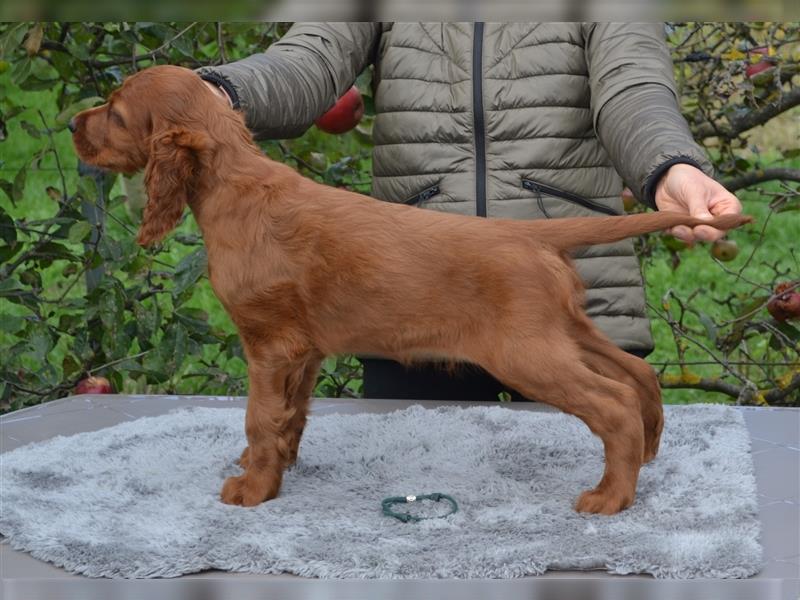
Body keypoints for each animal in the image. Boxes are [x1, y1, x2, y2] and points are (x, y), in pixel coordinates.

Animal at [72, 65, 752, 516]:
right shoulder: (304, 351)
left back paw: (611, 495)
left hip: (526, 352)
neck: (233, 185)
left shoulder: (268, 344)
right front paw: (278, 468)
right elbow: (291, 416)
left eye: (115, 112)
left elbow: (260, 417)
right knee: (638, 376)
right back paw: (646, 458)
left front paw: (252, 490)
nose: (73, 122)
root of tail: (529, 234)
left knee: (612, 402)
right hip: (561, 331)